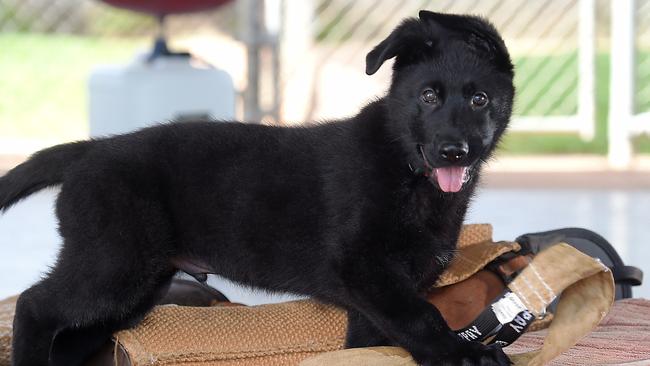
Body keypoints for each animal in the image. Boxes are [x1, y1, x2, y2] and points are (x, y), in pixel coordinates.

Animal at [2, 10, 512, 366]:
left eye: (479, 99)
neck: (406, 168)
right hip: (113, 265)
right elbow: (423, 317)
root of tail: (88, 151)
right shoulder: (366, 271)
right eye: (427, 96)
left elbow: (374, 341)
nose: (453, 152)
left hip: (135, 288)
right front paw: (464, 353)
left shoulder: (375, 300)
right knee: (33, 305)